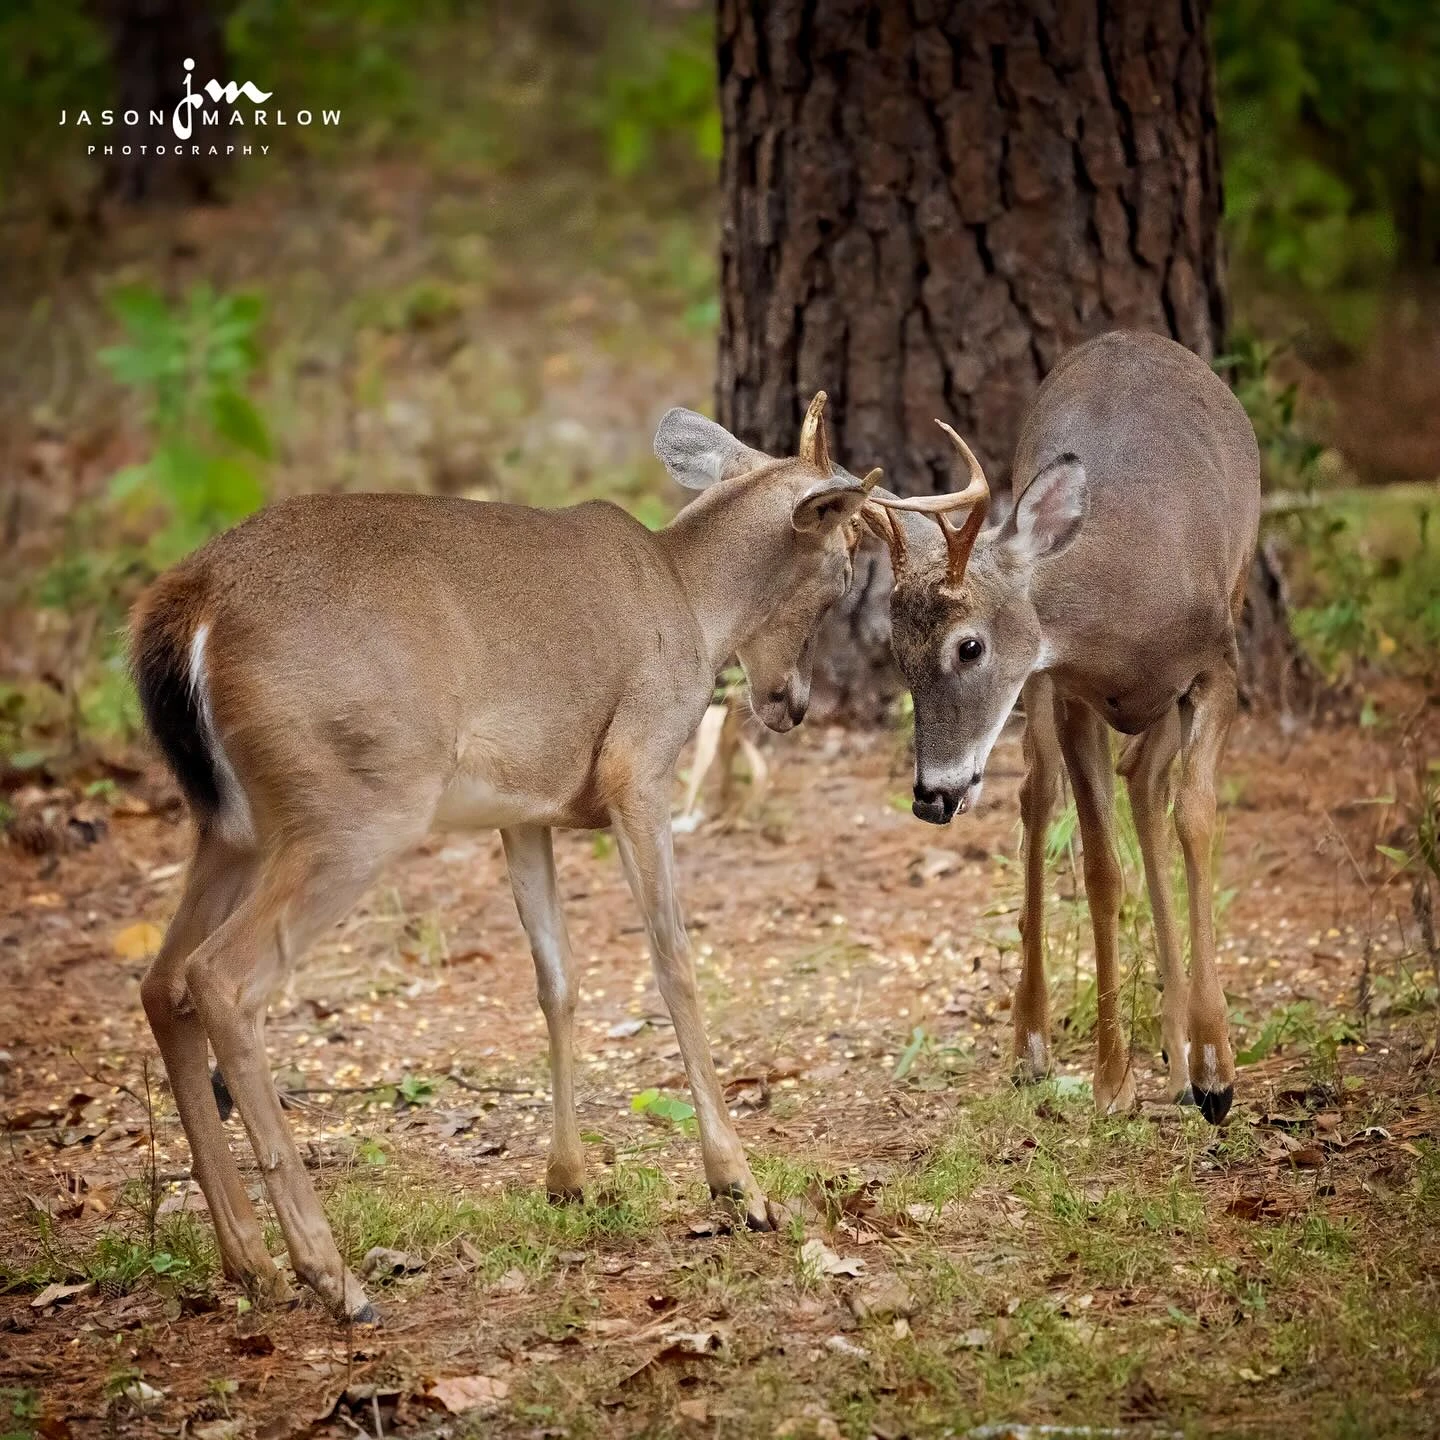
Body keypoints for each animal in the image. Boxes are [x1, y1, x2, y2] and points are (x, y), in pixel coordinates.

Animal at [131, 394, 880, 1323]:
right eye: (844, 572)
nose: (793, 706)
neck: (689, 603)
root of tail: (188, 608)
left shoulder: (526, 814)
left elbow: (557, 980)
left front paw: (569, 1180)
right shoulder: (639, 765)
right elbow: (673, 962)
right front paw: (738, 1185)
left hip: (230, 826)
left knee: (161, 980)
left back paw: (250, 1264)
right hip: (357, 806)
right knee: (222, 977)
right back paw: (329, 1274)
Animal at [862, 331, 1260, 1123]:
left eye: (969, 646)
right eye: (899, 653)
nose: (931, 795)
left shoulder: (1217, 668)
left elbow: (1198, 821)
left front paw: (1216, 1067)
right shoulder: (1075, 691)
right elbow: (1102, 870)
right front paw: (1113, 1080)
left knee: (1148, 782)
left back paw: (1180, 1056)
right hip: (1043, 693)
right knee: (1041, 795)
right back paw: (1036, 1045)